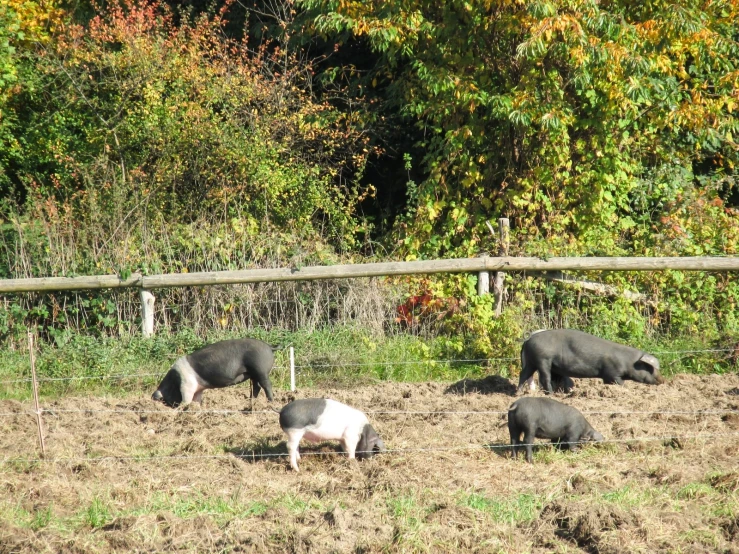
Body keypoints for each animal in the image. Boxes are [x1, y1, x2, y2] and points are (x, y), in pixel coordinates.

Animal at [516, 328, 664, 392]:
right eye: (650, 368)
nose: (663, 380)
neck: (629, 362)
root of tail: (527, 340)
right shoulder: (612, 373)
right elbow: (619, 383)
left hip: (532, 361)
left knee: (523, 374)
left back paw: (518, 393)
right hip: (543, 359)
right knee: (544, 377)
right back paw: (551, 394)